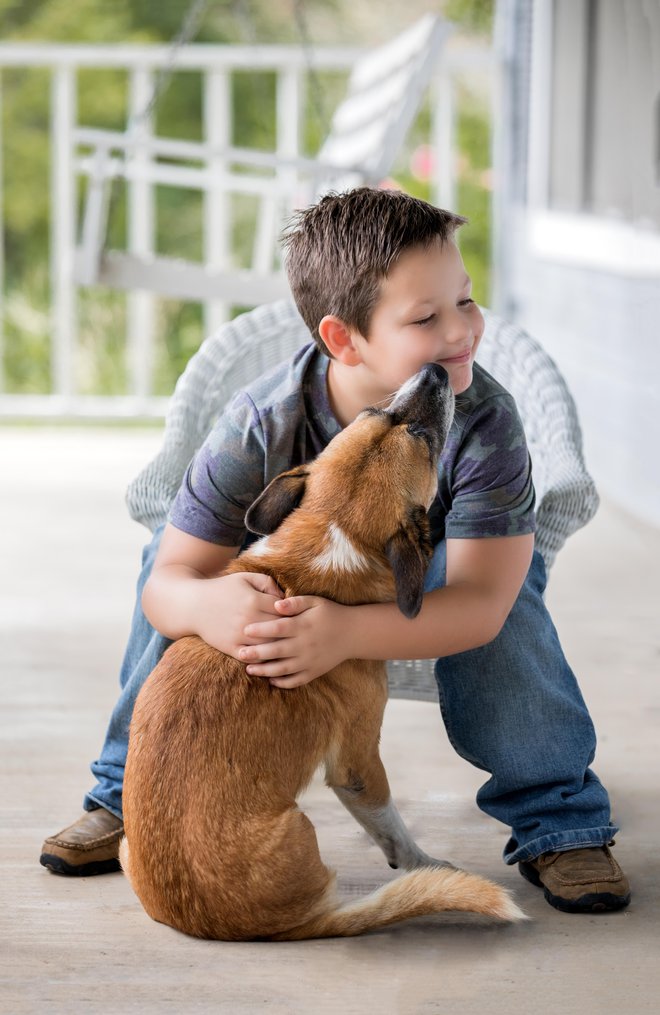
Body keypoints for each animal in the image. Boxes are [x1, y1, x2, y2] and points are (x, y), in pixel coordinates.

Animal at [120, 361, 523, 937]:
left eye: (374, 410)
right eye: (423, 441)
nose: (434, 371)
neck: (329, 540)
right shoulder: (359, 763)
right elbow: (392, 826)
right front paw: (423, 863)